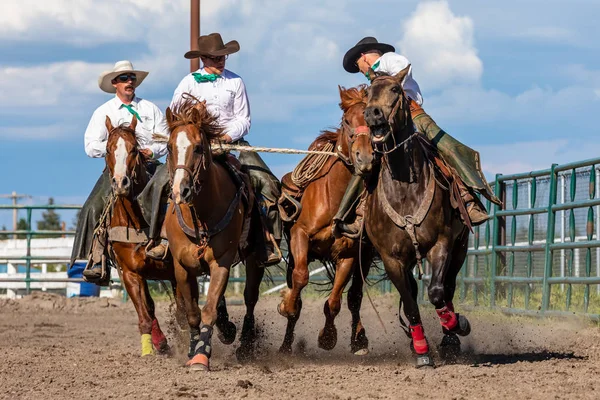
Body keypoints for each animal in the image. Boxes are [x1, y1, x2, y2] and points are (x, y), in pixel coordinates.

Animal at [102, 116, 173, 356]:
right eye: (108, 149)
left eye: (133, 149)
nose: (120, 183)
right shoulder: (130, 273)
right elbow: (145, 314)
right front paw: (149, 350)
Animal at [163, 95, 264, 370]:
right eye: (169, 147)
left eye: (198, 147)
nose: (181, 191)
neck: (201, 215)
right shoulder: (181, 266)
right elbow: (193, 312)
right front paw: (192, 348)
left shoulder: (222, 262)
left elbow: (208, 309)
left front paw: (201, 355)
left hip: (254, 258)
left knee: (250, 298)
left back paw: (244, 343)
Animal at [278, 86, 372, 354]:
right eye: (347, 121)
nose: (364, 158)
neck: (334, 198)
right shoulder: (299, 237)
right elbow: (300, 281)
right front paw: (286, 305)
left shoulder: (348, 254)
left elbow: (334, 302)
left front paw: (328, 337)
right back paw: (285, 346)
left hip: (366, 256)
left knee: (355, 296)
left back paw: (359, 340)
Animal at [356, 66, 474, 368]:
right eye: (367, 92)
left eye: (395, 89)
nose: (372, 113)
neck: (405, 188)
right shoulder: (391, 259)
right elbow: (409, 303)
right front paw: (421, 351)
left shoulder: (441, 243)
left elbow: (436, 292)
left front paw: (457, 325)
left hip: (460, 247)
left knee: (448, 287)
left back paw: (451, 337)